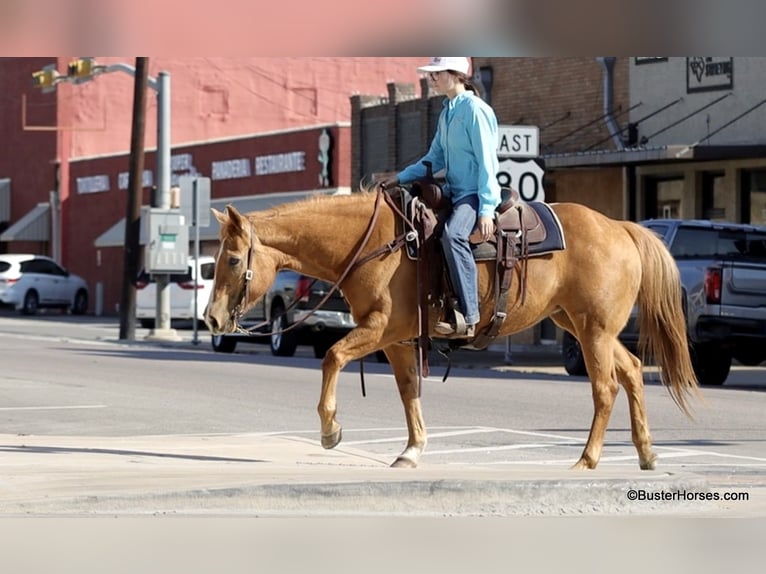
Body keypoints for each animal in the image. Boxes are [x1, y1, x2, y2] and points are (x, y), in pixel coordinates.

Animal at [204, 187, 700, 470]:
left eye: (233, 259)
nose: (211, 319)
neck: (376, 243)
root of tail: (620, 227)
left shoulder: (381, 327)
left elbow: (332, 356)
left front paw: (330, 430)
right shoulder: (396, 340)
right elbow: (409, 390)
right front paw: (411, 451)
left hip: (593, 329)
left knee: (605, 387)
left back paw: (587, 459)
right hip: (583, 325)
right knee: (632, 370)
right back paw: (646, 453)